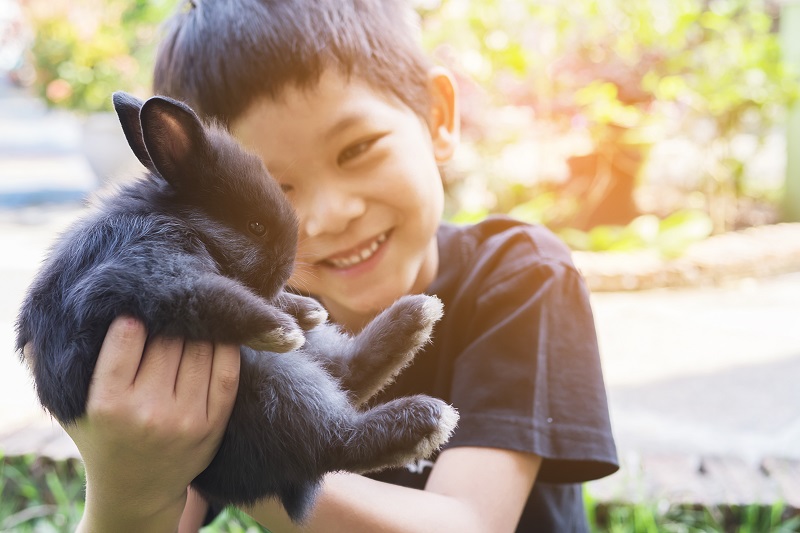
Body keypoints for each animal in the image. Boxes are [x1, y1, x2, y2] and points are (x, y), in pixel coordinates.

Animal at [15, 90, 460, 520]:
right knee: (335, 438)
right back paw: (426, 415)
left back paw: (415, 316)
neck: (176, 216)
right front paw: (280, 328)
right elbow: (208, 297)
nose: (286, 269)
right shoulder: (146, 269)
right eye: (256, 226)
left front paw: (304, 311)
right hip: (276, 383)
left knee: (347, 375)